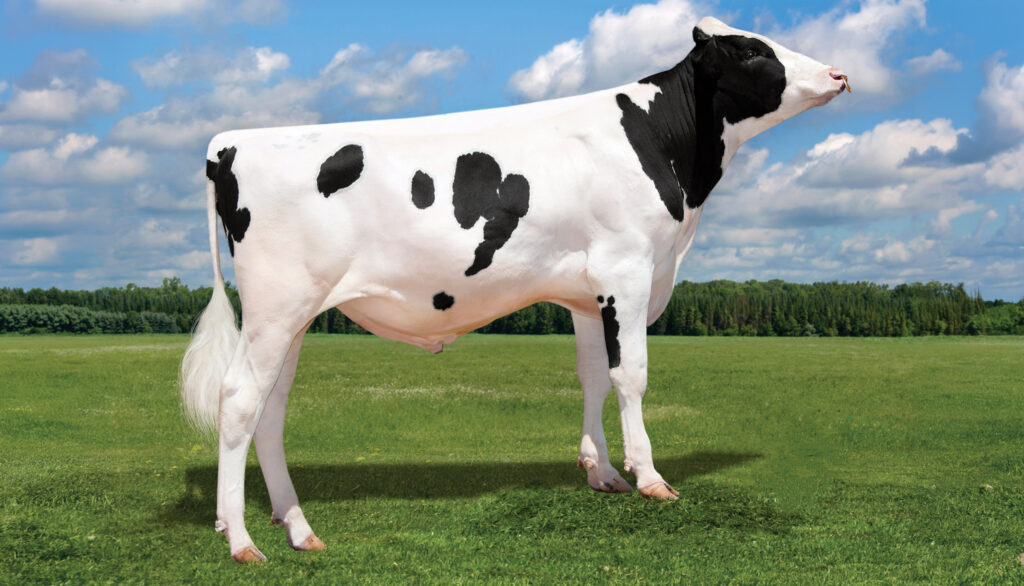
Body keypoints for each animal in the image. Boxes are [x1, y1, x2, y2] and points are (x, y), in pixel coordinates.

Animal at [181, 16, 849, 563]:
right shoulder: (628, 273)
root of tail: (231, 141)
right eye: (751, 49)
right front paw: (649, 477)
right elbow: (630, 376)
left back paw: (296, 527)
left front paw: (600, 470)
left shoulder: (587, 295)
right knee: (238, 400)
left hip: (290, 317)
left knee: (269, 411)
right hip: (275, 307)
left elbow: (592, 377)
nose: (840, 73)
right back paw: (242, 540)